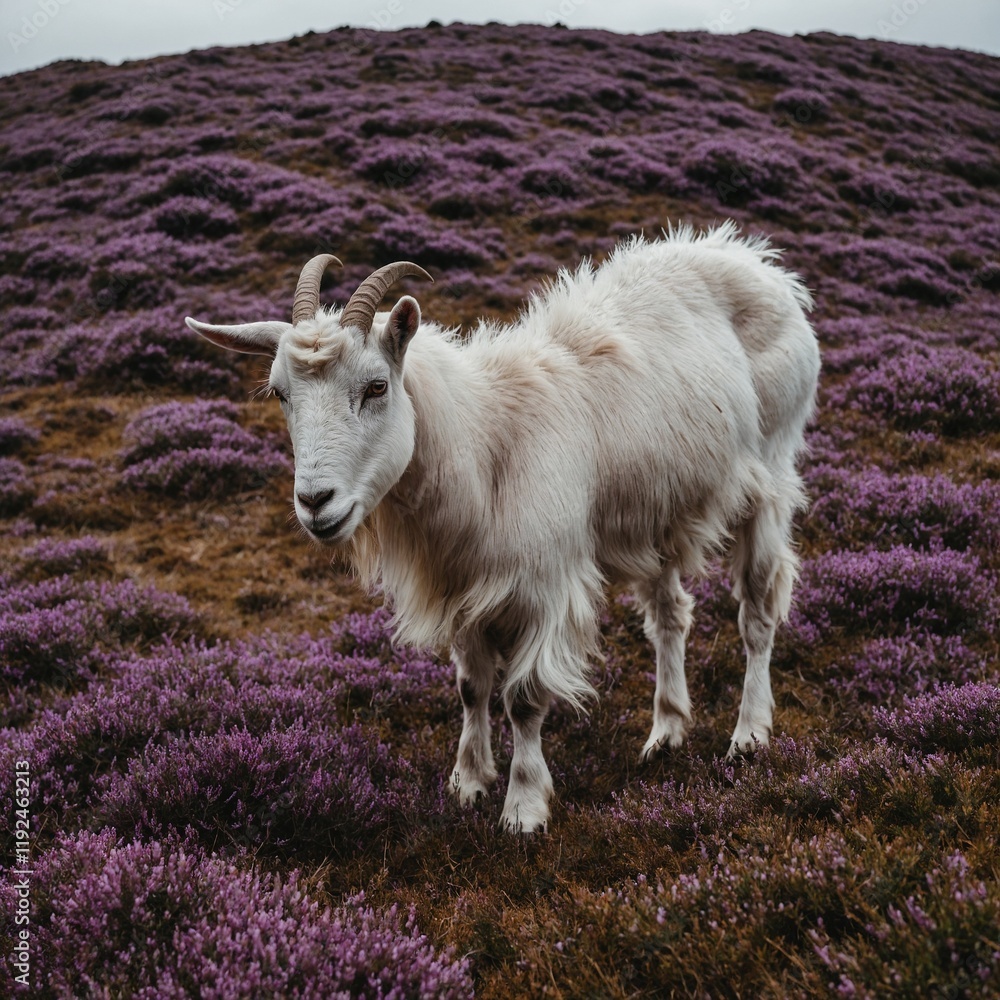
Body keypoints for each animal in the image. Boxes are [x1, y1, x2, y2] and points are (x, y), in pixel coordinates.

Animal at [186, 222, 821, 833]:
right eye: (279, 393)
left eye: (376, 386)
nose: (316, 502)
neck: (485, 441)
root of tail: (758, 262)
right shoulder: (466, 585)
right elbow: (472, 687)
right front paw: (468, 781)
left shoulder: (543, 586)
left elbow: (524, 699)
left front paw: (523, 807)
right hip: (655, 511)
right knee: (670, 617)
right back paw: (666, 731)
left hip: (770, 472)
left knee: (758, 611)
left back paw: (749, 733)